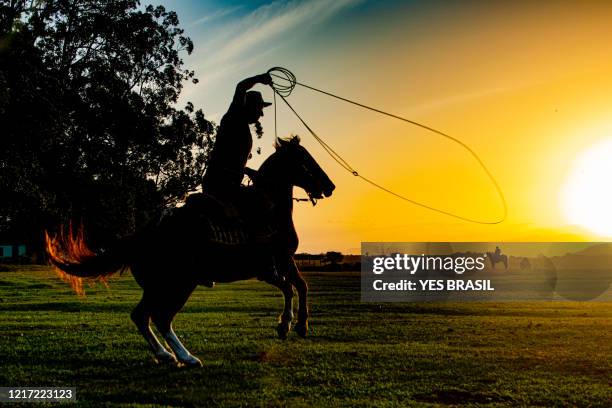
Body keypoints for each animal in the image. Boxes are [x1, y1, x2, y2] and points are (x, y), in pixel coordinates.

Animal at [44, 135, 334, 368]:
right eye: (305, 159)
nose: (329, 186)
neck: (270, 209)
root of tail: (145, 233)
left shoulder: (285, 261)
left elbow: (300, 285)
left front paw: (299, 325)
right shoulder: (269, 268)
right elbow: (289, 288)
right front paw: (287, 323)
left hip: (160, 286)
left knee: (141, 316)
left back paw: (165, 355)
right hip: (179, 284)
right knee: (160, 318)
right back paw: (186, 357)